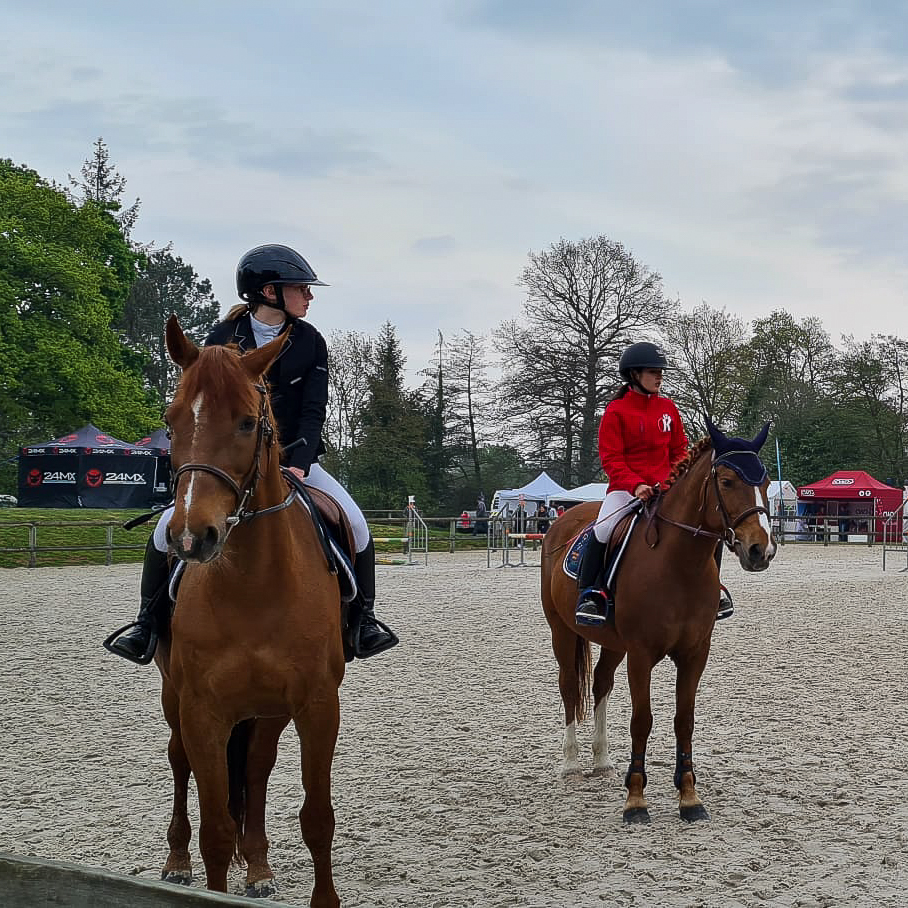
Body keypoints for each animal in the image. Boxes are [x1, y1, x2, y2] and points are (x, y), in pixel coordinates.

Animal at [154, 316, 346, 904]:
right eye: (170, 421)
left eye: (245, 422)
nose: (191, 537)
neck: (253, 586)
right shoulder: (202, 710)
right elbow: (216, 829)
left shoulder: (316, 704)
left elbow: (317, 818)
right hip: (174, 698)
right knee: (178, 760)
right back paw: (176, 861)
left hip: (269, 709)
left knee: (258, 769)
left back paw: (259, 869)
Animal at [544, 422, 776, 828]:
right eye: (727, 481)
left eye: (764, 481)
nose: (760, 550)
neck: (678, 565)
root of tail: (563, 521)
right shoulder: (641, 654)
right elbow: (642, 720)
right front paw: (636, 801)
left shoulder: (695, 654)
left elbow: (684, 720)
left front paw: (689, 797)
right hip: (563, 631)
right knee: (571, 688)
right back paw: (571, 765)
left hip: (612, 643)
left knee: (601, 684)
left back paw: (601, 760)